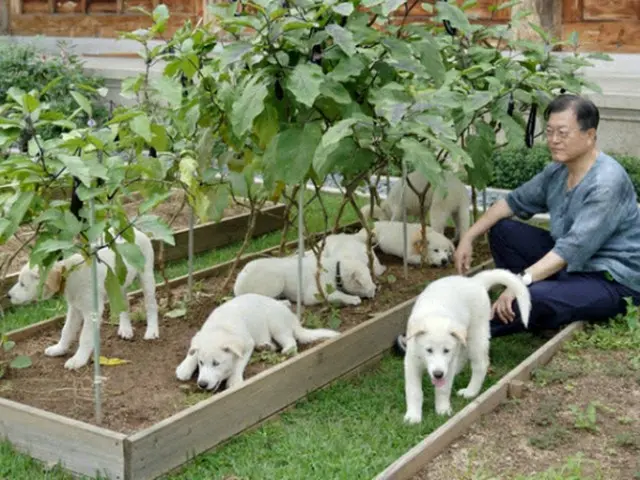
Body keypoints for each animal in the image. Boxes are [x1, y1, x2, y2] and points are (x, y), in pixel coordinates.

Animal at [7, 227, 159, 370]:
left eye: (22, 284)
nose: (7, 295)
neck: (68, 273)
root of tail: (134, 230)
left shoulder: (91, 311)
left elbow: (84, 337)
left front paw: (78, 360)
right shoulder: (74, 308)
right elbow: (66, 330)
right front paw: (59, 348)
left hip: (146, 275)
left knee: (151, 304)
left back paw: (152, 331)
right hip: (117, 284)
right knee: (124, 304)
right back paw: (126, 329)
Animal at [176, 294, 340, 392]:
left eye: (216, 363)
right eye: (201, 363)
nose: (202, 384)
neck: (221, 327)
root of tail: (293, 318)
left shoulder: (247, 344)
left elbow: (239, 362)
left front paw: (234, 380)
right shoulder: (200, 336)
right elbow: (193, 351)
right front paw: (184, 368)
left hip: (276, 324)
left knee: (291, 341)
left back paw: (286, 350)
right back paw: (265, 346)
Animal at [234, 253, 376, 306]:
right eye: (361, 283)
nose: (375, 289)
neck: (337, 270)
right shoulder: (314, 294)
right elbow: (337, 294)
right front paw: (352, 299)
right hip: (276, 282)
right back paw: (285, 302)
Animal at [402, 268, 532, 422]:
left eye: (446, 350)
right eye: (428, 350)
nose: (438, 374)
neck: (435, 315)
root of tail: (475, 281)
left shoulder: (448, 361)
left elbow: (443, 389)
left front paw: (443, 410)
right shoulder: (411, 362)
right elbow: (414, 391)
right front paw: (413, 416)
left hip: (476, 335)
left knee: (480, 364)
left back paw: (470, 391)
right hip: (464, 337)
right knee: (463, 355)